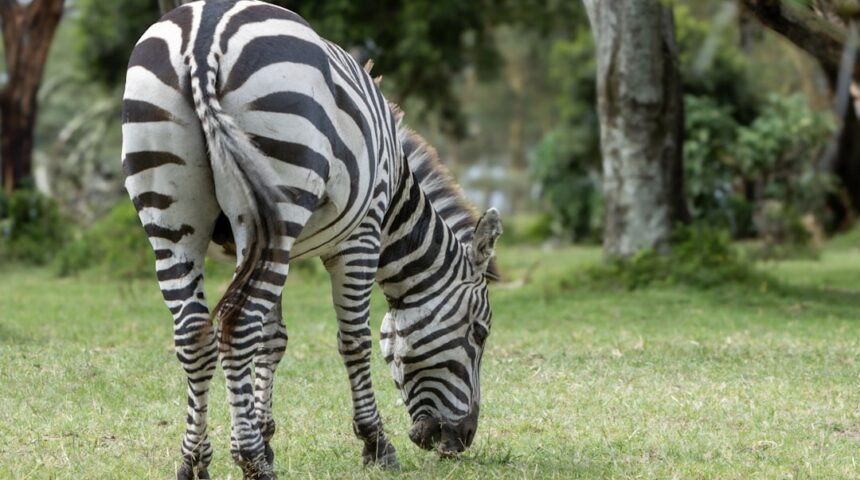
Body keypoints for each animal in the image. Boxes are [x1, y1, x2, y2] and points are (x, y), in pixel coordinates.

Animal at [122, 1, 502, 478]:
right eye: (480, 333)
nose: (462, 440)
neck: (396, 196)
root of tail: (205, 34)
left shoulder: (259, 246)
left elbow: (272, 340)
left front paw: (264, 437)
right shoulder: (360, 235)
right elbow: (354, 341)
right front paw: (375, 444)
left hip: (175, 219)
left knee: (196, 333)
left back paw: (194, 461)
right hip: (280, 187)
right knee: (235, 327)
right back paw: (251, 463)